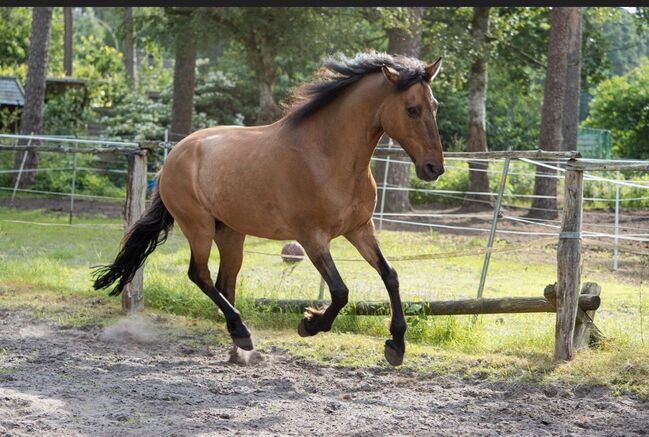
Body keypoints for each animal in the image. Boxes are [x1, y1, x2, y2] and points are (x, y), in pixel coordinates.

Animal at [92, 50, 446, 364]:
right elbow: (340, 291)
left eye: (435, 106)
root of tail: (176, 154)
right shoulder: (312, 238)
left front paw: (396, 345)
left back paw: (239, 350)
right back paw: (242, 333)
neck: (327, 155)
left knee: (224, 283)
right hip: (198, 227)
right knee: (199, 275)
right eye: (412, 109)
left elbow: (390, 275)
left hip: (231, 233)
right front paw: (309, 324)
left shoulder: (360, 229)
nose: (434, 168)